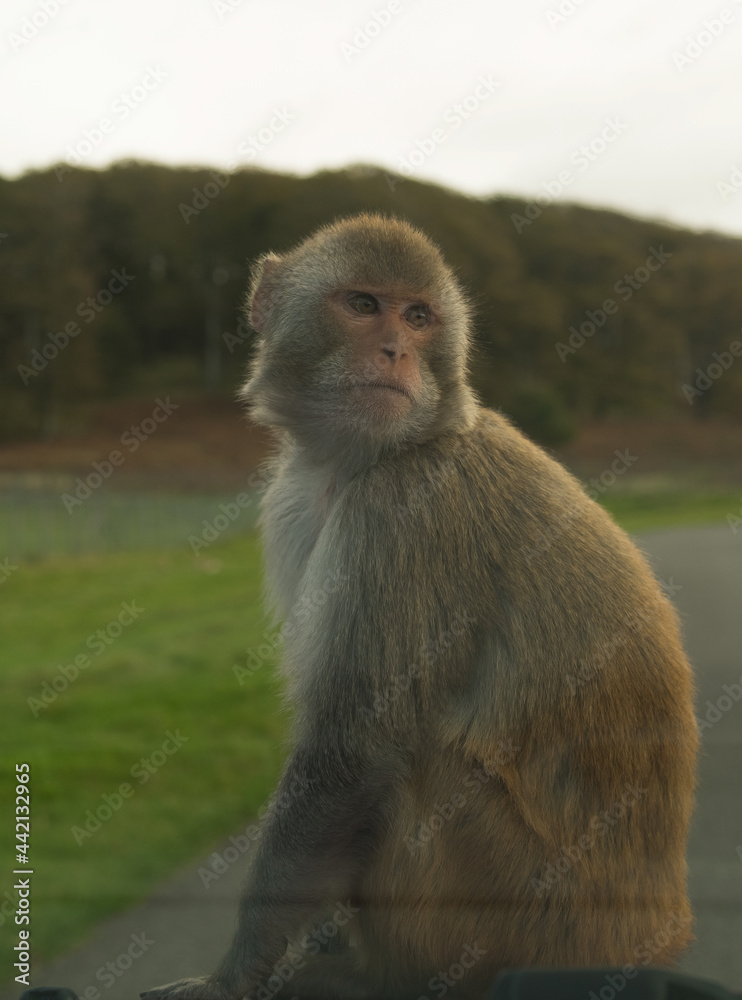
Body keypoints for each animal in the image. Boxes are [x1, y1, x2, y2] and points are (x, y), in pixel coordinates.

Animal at [142, 213, 698, 1000]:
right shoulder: (296, 501)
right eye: (363, 305)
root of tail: (652, 940)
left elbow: (355, 747)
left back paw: (379, 972)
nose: (396, 351)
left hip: (515, 910)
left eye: (418, 317)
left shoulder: (401, 509)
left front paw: (236, 971)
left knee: (416, 757)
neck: (384, 452)